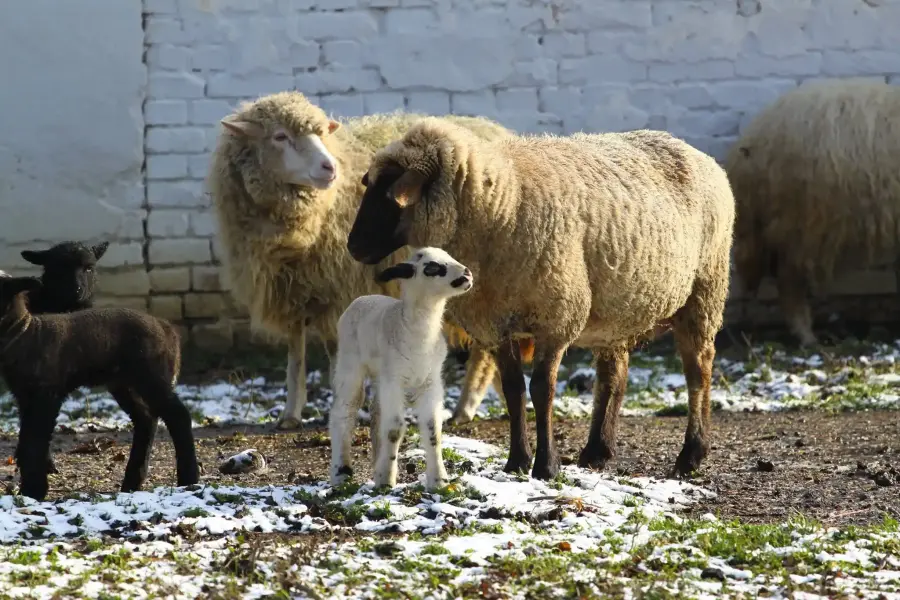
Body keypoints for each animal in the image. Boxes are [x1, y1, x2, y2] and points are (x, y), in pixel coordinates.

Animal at [0, 276, 199, 502]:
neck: (25, 335)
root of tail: (167, 328)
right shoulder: (24, 397)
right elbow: (26, 440)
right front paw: (30, 490)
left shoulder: (47, 393)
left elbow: (35, 441)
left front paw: (33, 491)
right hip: (123, 383)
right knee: (146, 418)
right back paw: (132, 482)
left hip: (151, 375)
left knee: (178, 416)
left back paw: (188, 479)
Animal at [326, 246, 474, 490]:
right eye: (431, 267)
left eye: (449, 256)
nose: (467, 274)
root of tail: (364, 298)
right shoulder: (394, 380)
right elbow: (395, 429)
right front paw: (386, 481)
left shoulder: (430, 381)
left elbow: (433, 430)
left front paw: (439, 481)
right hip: (350, 362)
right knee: (344, 412)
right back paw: (341, 473)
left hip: (381, 376)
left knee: (377, 414)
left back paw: (377, 464)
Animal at [348, 119, 736, 480]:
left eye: (390, 194)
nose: (354, 248)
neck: (502, 203)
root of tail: (698, 154)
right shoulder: (495, 325)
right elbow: (513, 391)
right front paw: (517, 462)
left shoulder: (556, 318)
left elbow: (542, 390)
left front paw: (546, 466)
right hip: (617, 311)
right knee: (614, 376)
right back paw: (597, 450)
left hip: (704, 292)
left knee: (698, 371)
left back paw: (691, 454)